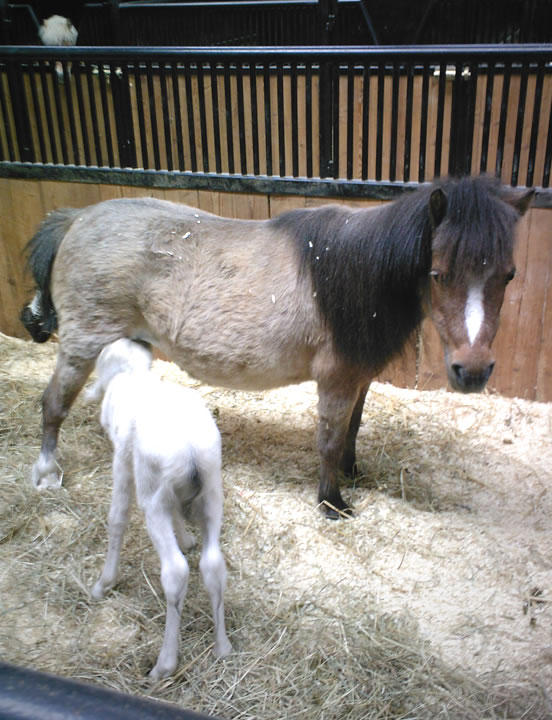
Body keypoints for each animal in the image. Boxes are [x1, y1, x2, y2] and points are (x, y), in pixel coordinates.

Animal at [22, 176, 536, 516]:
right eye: (438, 273)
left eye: (509, 274)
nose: (473, 371)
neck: (354, 274)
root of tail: (78, 217)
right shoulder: (337, 379)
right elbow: (329, 438)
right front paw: (332, 501)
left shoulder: (359, 378)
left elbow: (352, 429)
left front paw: (352, 471)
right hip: (83, 343)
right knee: (53, 405)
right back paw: (46, 475)